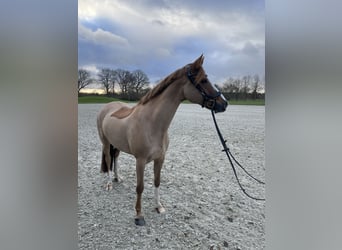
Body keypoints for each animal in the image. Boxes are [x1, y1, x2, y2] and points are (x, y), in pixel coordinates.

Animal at [96, 55, 227, 227]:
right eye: (204, 80)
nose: (224, 104)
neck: (152, 123)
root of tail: (107, 107)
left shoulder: (160, 158)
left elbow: (157, 181)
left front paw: (158, 206)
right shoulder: (140, 160)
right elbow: (140, 187)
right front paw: (139, 215)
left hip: (116, 144)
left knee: (115, 158)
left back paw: (118, 178)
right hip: (105, 143)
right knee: (108, 158)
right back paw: (109, 184)